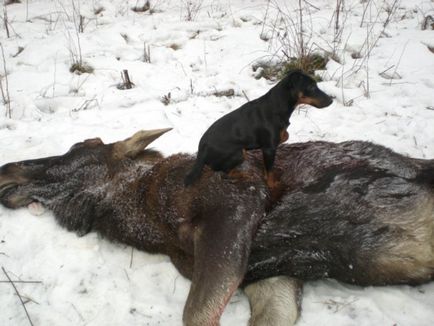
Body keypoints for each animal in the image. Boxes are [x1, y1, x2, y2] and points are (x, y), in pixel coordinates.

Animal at [184, 69, 332, 186]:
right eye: (311, 87)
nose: (331, 100)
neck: (277, 106)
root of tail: (201, 149)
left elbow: (284, 138)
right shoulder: (268, 148)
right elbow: (269, 173)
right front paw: (272, 185)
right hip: (240, 152)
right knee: (224, 171)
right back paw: (243, 175)